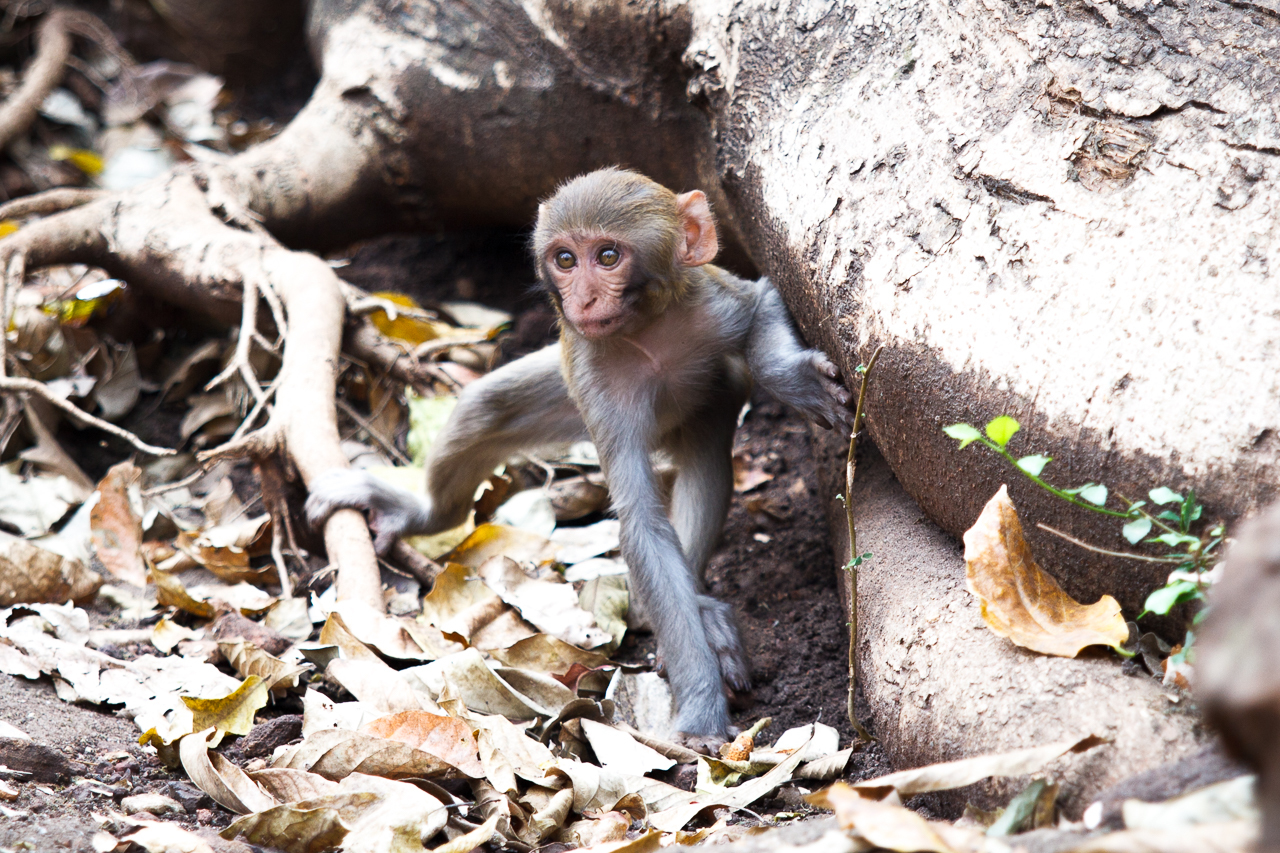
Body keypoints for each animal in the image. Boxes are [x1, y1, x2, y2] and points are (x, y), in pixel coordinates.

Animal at [307, 169, 849, 742]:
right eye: (565, 260)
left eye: (607, 256)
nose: (583, 302)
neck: (646, 331)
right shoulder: (593, 377)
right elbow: (642, 524)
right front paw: (701, 706)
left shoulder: (711, 303)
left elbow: (763, 300)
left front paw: (792, 380)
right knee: (483, 409)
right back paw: (420, 513)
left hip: (707, 404)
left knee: (708, 451)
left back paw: (702, 605)